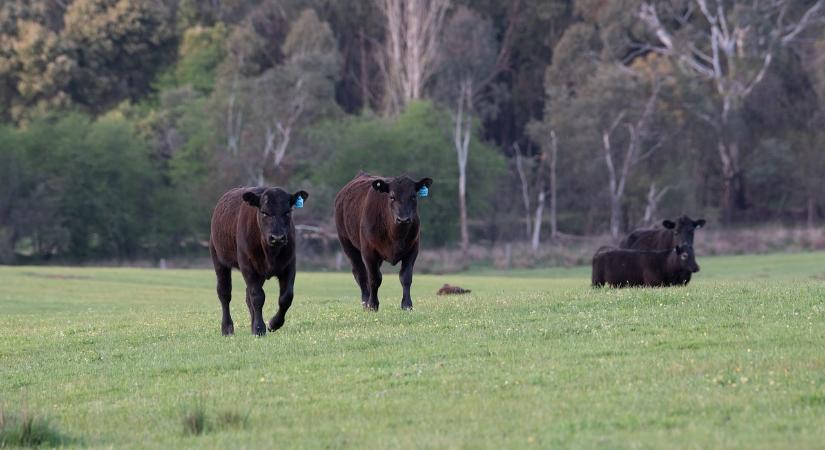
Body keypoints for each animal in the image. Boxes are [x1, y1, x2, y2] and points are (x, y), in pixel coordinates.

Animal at [208, 185, 308, 336]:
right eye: (264, 212)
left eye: (287, 212)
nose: (277, 238)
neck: (270, 253)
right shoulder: (247, 266)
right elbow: (257, 297)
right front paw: (260, 328)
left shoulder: (290, 264)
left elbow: (286, 297)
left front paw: (273, 324)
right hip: (219, 260)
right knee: (224, 293)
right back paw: (227, 328)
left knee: (247, 296)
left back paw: (252, 325)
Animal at [334, 171, 432, 312]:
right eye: (392, 197)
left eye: (413, 196)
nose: (403, 219)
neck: (396, 236)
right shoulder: (369, 251)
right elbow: (375, 278)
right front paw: (372, 305)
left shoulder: (413, 249)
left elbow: (406, 277)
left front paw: (407, 304)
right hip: (347, 244)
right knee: (361, 274)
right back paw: (365, 301)